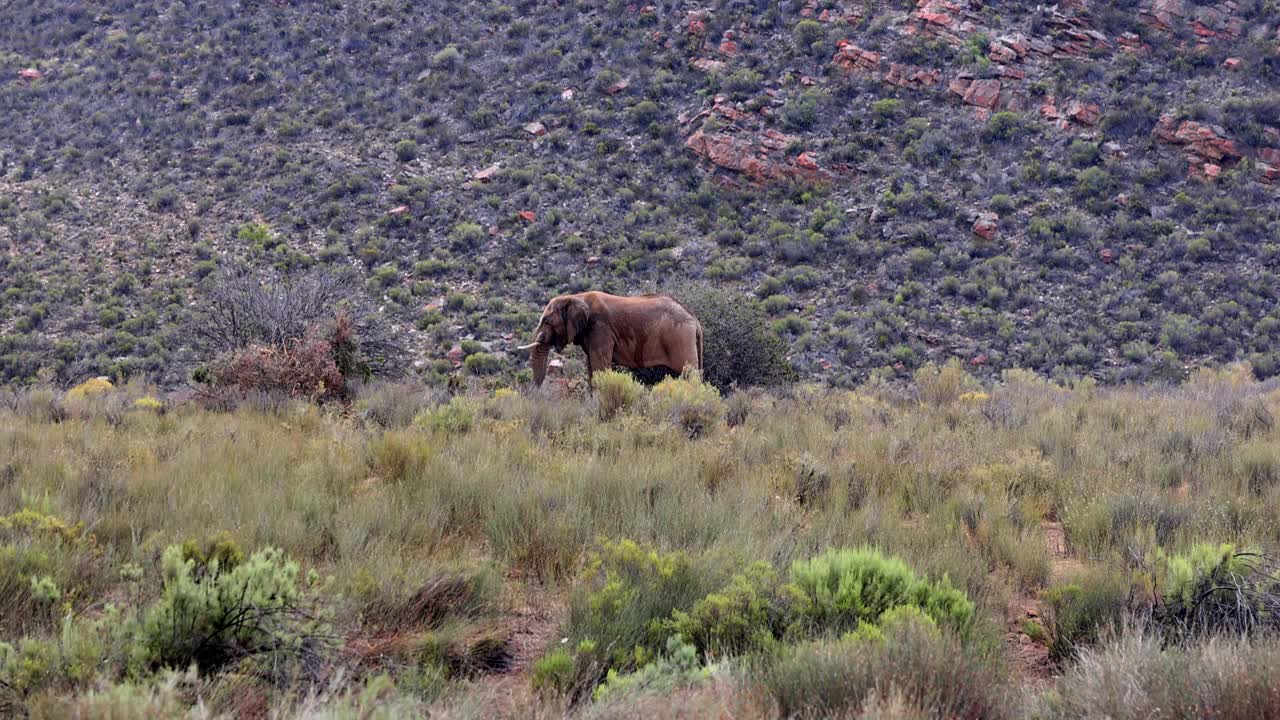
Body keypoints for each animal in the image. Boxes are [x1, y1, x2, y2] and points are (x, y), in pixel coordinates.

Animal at [517, 288, 706, 386]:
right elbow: (591, 369)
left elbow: (600, 367)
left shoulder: (600, 328)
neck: (575, 296)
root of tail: (695, 320)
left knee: (689, 372)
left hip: (680, 337)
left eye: (547, 321)